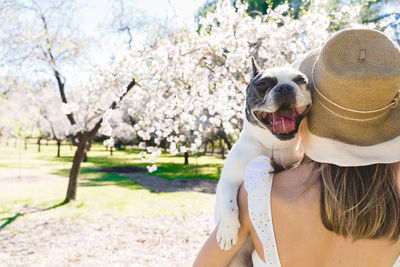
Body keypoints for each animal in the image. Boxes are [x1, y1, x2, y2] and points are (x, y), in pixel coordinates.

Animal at [214, 57, 310, 260]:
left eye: (300, 80)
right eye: (262, 84)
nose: (284, 87)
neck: (272, 145)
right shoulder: (227, 179)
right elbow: (229, 203)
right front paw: (227, 231)